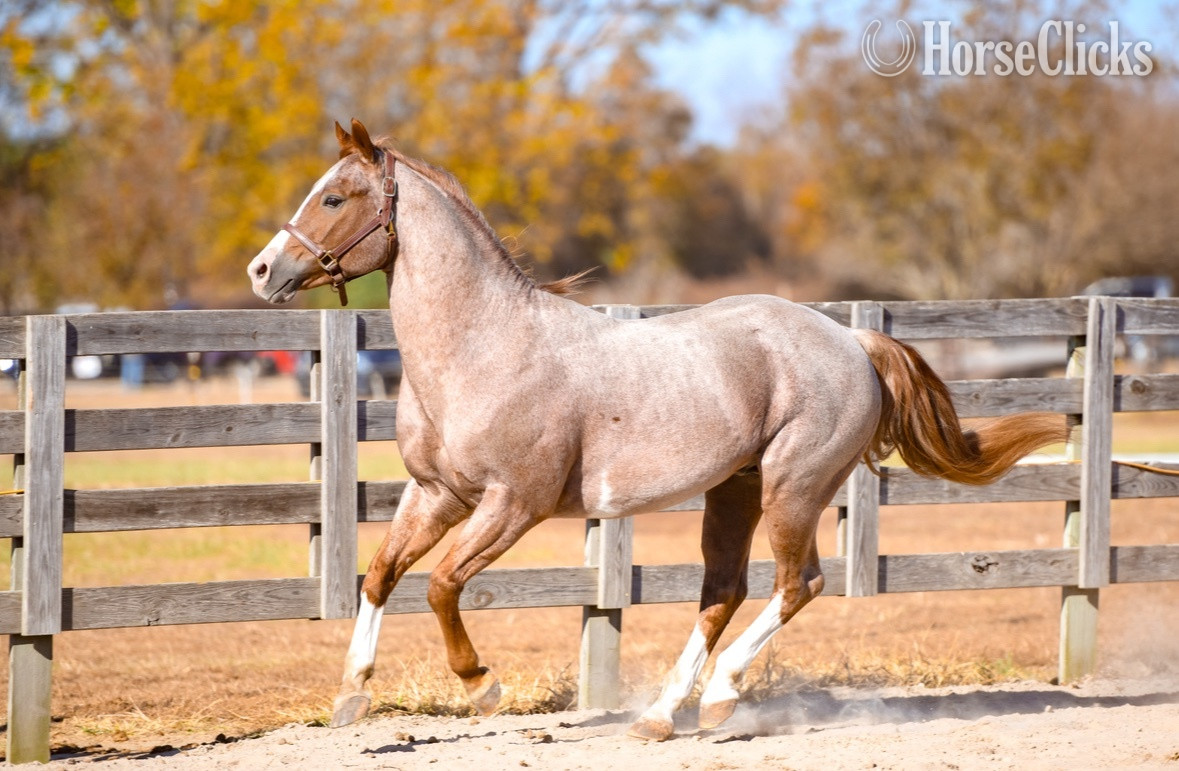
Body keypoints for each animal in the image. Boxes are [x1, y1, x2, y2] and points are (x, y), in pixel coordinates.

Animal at [247, 119, 1067, 741]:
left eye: (334, 195)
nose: (261, 270)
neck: (483, 348)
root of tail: (850, 341)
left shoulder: (515, 503)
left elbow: (445, 585)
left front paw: (481, 685)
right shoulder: (437, 493)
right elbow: (382, 574)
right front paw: (351, 695)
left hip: (792, 488)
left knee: (795, 583)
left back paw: (721, 696)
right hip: (733, 491)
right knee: (723, 590)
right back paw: (661, 715)